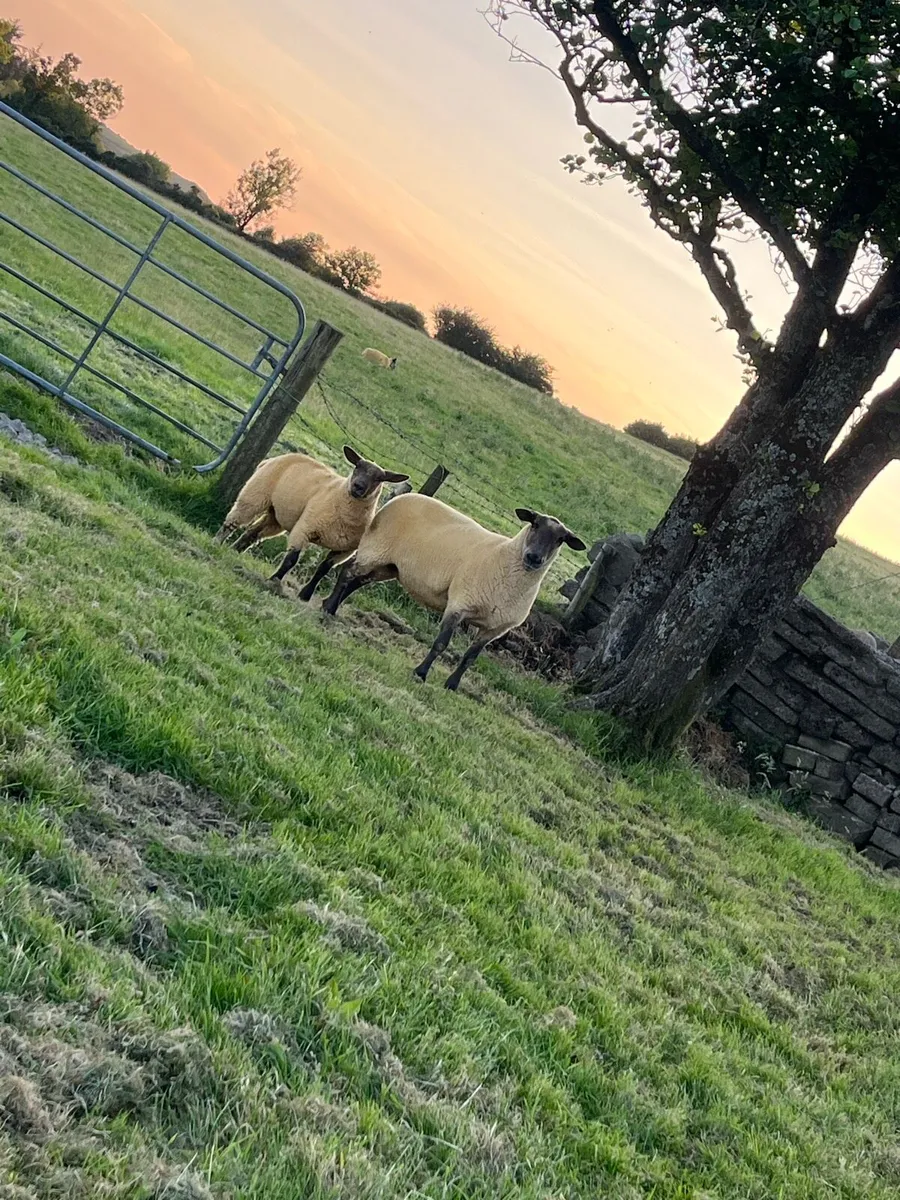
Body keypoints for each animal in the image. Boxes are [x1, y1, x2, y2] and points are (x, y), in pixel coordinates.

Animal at [215, 445, 409, 599]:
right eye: (357, 467)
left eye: (379, 478)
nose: (358, 486)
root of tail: (277, 458)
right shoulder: (305, 528)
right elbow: (291, 560)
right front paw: (274, 581)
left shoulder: (344, 550)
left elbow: (323, 570)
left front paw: (305, 595)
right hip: (255, 495)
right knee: (233, 521)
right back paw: (217, 542)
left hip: (277, 515)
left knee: (253, 532)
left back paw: (234, 551)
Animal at [321, 493, 586, 690]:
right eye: (534, 524)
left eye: (560, 539)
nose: (534, 557)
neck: (505, 558)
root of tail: (401, 497)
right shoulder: (460, 604)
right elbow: (441, 644)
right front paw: (420, 673)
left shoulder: (495, 629)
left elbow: (470, 658)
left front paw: (452, 685)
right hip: (374, 550)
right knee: (347, 573)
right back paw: (328, 607)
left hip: (389, 566)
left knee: (356, 582)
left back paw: (331, 606)